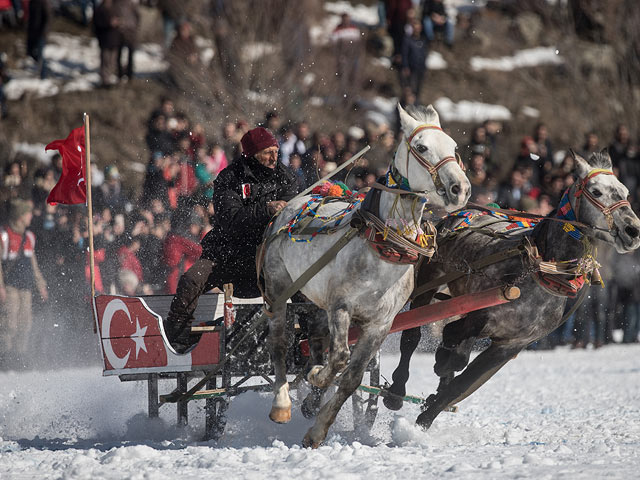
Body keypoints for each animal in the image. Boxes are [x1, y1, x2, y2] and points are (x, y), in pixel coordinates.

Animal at [258, 104, 470, 446]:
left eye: (453, 148)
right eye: (422, 147)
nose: (460, 189)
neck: (385, 249)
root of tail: (292, 204)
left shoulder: (379, 324)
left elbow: (352, 377)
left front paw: (318, 428)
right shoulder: (341, 307)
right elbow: (340, 357)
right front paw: (318, 378)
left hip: (315, 300)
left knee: (313, 339)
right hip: (278, 288)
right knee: (279, 342)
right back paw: (282, 403)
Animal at [382, 150, 640, 428]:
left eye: (625, 192)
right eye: (597, 191)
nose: (633, 230)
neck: (542, 273)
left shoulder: (510, 346)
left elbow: (461, 383)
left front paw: (425, 420)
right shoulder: (481, 315)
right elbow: (455, 348)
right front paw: (441, 365)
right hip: (428, 281)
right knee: (411, 337)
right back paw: (396, 391)